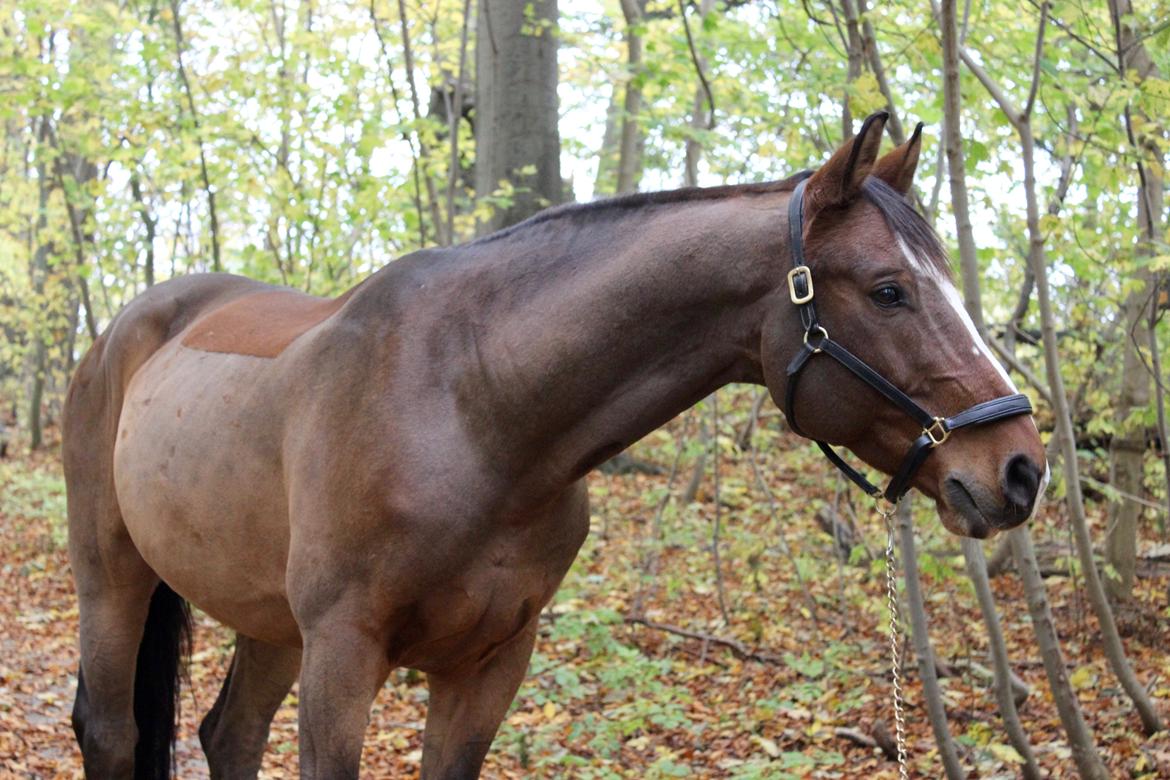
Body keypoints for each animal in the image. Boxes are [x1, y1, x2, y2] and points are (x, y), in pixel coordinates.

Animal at [68, 111, 1048, 780]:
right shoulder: (343, 655)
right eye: (888, 291)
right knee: (112, 732)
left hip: (270, 620)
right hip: (115, 574)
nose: (1020, 469)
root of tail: (125, 329)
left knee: (227, 735)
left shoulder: (491, 664)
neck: (475, 412)